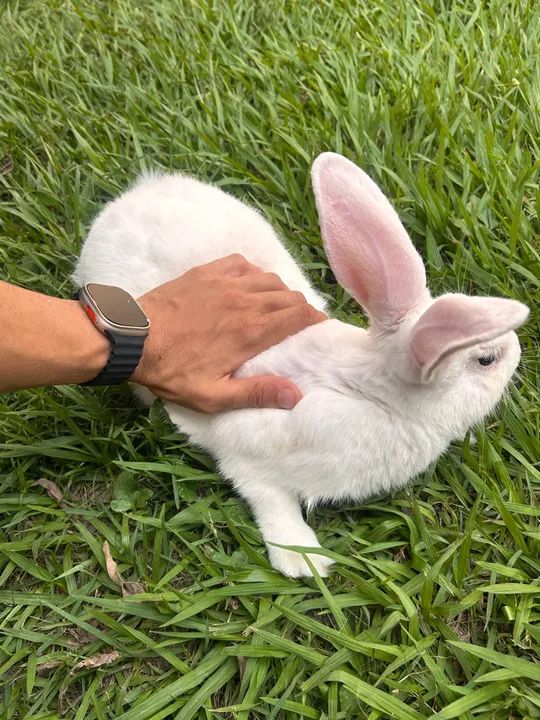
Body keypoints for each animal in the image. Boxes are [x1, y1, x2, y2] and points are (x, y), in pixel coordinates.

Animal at [73, 152, 529, 578]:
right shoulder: (248, 454)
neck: (375, 395)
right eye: (486, 360)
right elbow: (269, 498)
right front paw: (303, 559)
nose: (518, 349)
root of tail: (139, 193)